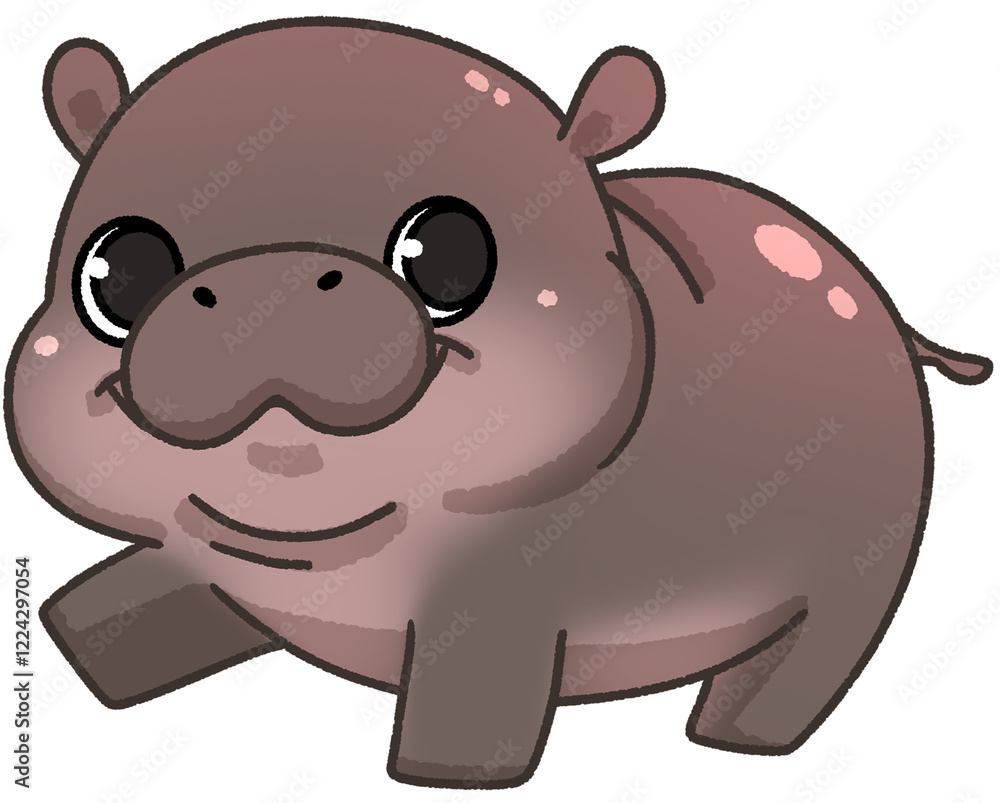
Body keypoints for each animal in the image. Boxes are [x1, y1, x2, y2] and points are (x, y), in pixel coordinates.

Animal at [5, 17, 991, 789]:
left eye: (448, 254)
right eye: (115, 271)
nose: (268, 289)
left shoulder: (501, 603)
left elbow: (470, 707)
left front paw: (441, 776)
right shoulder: (211, 563)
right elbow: (141, 589)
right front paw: (75, 640)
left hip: (858, 575)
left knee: (802, 667)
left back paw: (735, 746)